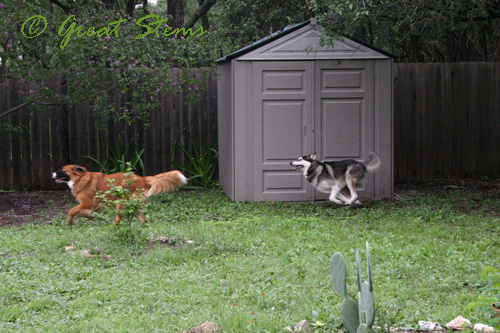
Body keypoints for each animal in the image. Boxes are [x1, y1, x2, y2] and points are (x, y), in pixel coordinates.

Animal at [52, 165, 188, 224]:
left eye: (62, 170)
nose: (52, 173)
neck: (80, 179)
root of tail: (143, 179)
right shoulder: (89, 206)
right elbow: (83, 213)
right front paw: (92, 217)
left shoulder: (87, 203)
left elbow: (71, 211)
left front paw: (69, 221)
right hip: (133, 206)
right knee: (143, 219)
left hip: (121, 203)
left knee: (119, 219)